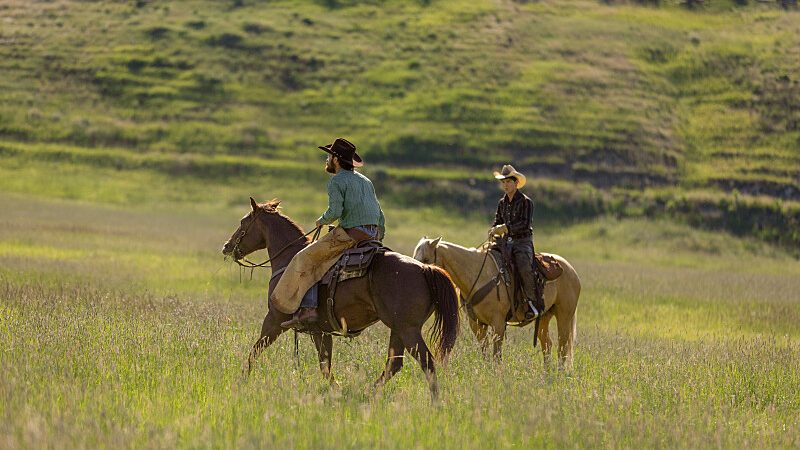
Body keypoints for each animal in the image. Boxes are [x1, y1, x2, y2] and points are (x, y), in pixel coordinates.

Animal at [222, 199, 460, 400]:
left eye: (243, 222)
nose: (226, 246)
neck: (288, 260)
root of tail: (425, 269)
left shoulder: (274, 320)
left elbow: (255, 351)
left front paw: (241, 380)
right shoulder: (321, 330)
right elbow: (325, 364)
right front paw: (336, 389)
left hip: (408, 330)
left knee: (426, 363)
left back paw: (434, 402)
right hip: (399, 328)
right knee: (394, 365)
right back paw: (370, 391)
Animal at [412, 237, 580, 370]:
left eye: (426, 259)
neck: (477, 276)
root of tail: (570, 269)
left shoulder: (498, 323)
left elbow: (496, 353)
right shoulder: (477, 323)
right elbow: (485, 350)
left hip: (564, 315)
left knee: (563, 346)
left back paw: (559, 372)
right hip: (544, 317)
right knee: (547, 344)